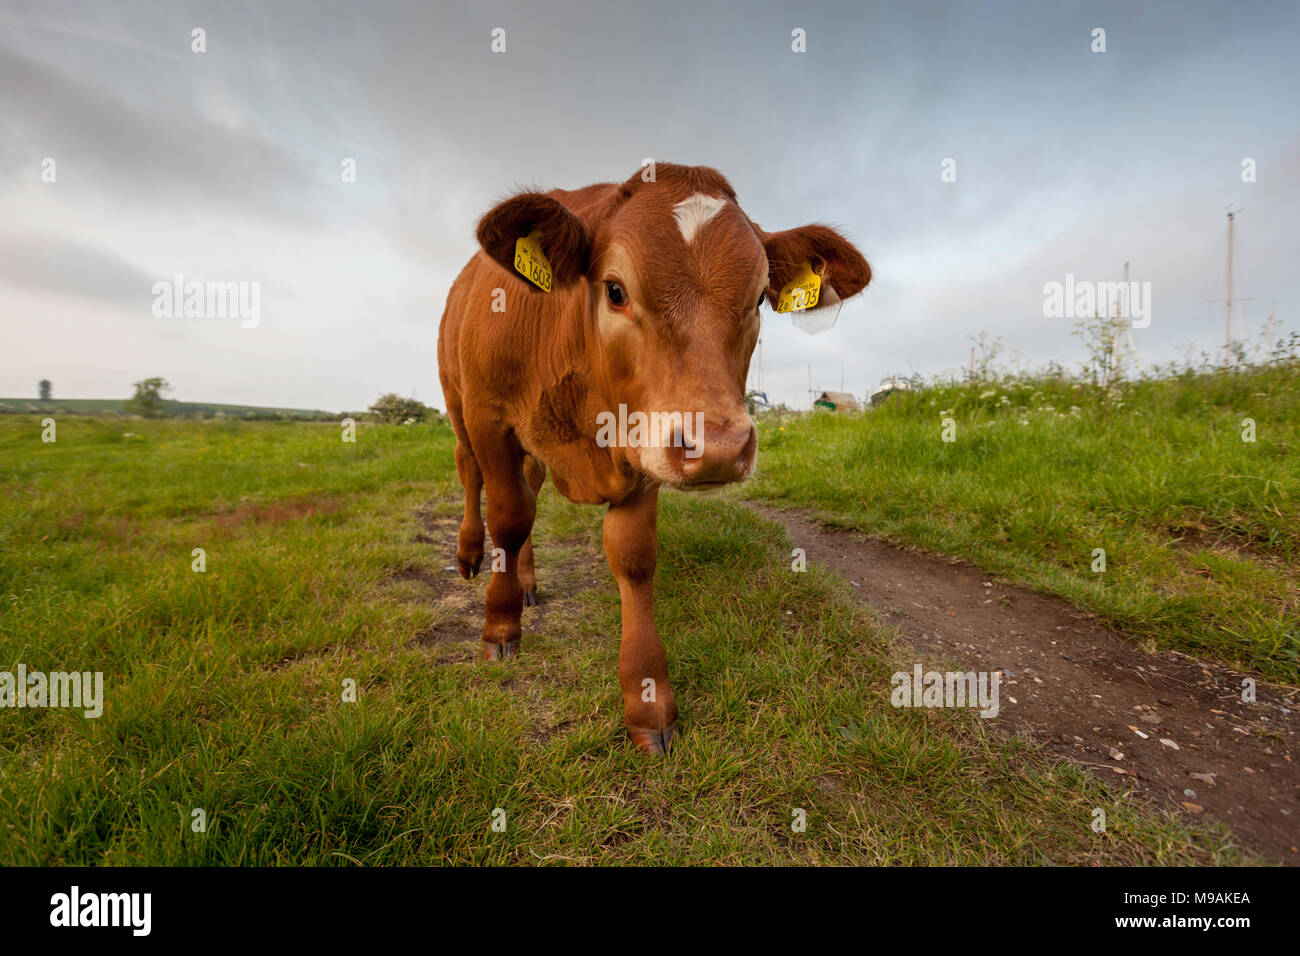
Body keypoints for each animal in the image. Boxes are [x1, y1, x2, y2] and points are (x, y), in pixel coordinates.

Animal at [436, 160, 873, 749]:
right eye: (615, 290)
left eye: (759, 298)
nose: (718, 447)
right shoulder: (491, 418)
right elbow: (507, 518)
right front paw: (499, 627)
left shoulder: (642, 439)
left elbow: (633, 556)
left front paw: (647, 699)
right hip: (457, 404)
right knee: (472, 476)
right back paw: (469, 555)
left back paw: (526, 581)